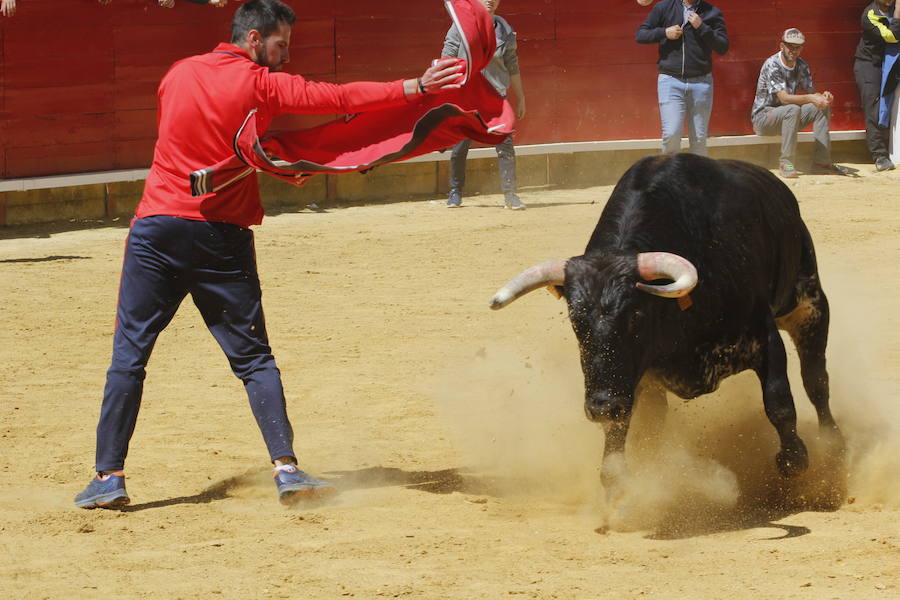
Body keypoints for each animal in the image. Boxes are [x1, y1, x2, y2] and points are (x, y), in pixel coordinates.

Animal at [488, 155, 840, 496]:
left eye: (635, 316)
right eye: (576, 319)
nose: (601, 407)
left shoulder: (764, 337)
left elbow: (779, 401)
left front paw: (794, 459)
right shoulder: (633, 380)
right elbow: (626, 425)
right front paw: (615, 479)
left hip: (810, 304)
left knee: (816, 380)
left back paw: (833, 444)